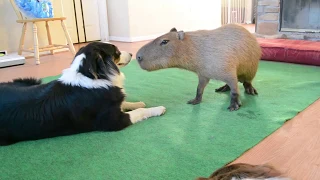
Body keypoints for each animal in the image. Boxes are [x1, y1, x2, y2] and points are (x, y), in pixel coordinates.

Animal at [0, 41, 165, 146]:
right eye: (117, 52)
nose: (131, 53)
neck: (92, 76)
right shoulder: (112, 121)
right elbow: (140, 111)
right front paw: (157, 109)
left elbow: (125, 103)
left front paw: (137, 102)